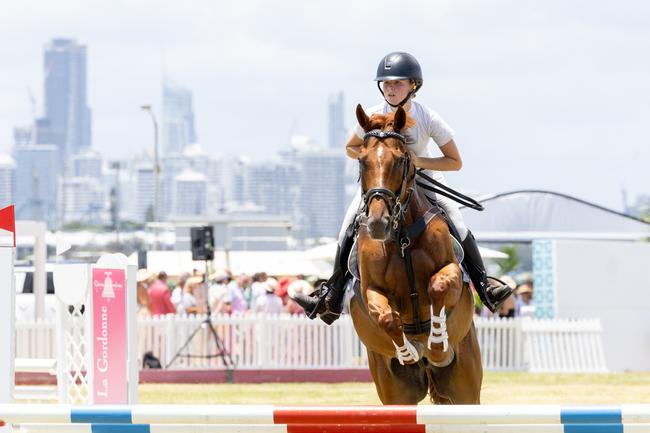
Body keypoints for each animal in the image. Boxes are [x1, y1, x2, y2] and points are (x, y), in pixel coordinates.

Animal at [350, 103, 480, 404]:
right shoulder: (370, 289)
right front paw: (408, 351)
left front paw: (436, 345)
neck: (401, 237)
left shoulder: (450, 270)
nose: (378, 224)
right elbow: (387, 318)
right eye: (362, 161)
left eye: (400, 161)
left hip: (465, 385)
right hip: (395, 392)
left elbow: (438, 286)